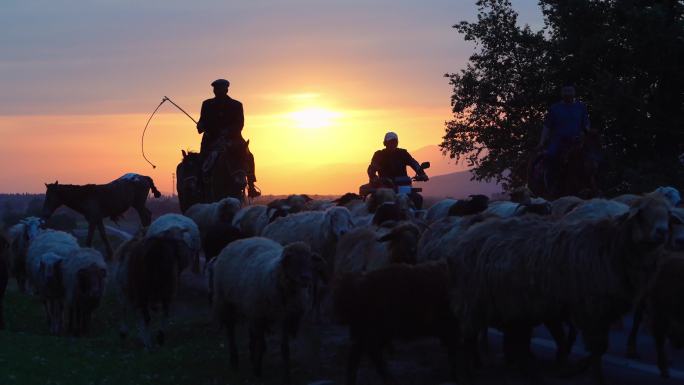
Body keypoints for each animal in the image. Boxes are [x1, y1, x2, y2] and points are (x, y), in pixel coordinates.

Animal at [212, 237, 316, 380]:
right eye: (291, 258)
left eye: (309, 259)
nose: (306, 277)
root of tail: (238, 240)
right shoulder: (259, 316)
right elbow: (261, 346)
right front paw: (257, 372)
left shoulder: (286, 318)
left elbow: (285, 348)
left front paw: (286, 374)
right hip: (226, 302)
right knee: (230, 331)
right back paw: (234, 360)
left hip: (249, 308)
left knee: (252, 334)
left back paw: (251, 354)